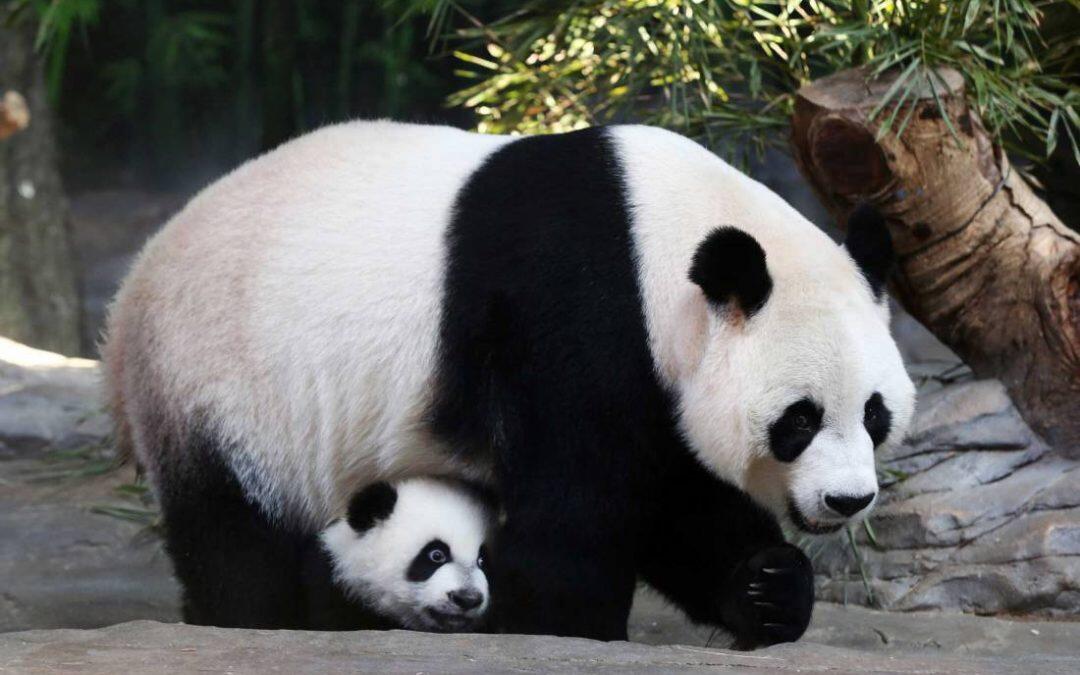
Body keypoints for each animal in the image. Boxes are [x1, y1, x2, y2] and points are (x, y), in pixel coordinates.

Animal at [103, 120, 911, 643]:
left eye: (876, 415)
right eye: (799, 419)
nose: (848, 500)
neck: (659, 238)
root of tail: (131, 291)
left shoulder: (655, 376)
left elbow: (676, 496)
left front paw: (769, 587)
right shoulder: (571, 315)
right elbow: (580, 499)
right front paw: (566, 627)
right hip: (223, 382)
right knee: (234, 530)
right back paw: (257, 619)